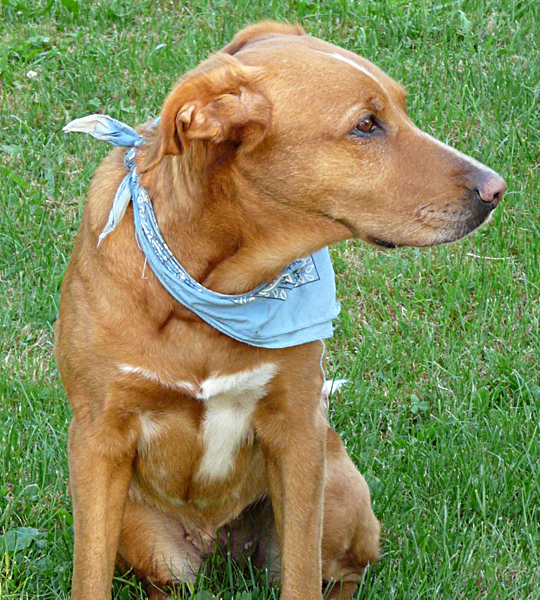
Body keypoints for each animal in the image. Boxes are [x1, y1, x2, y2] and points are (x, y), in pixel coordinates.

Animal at [55, 21, 506, 600]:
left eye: (402, 108)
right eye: (366, 125)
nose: (496, 190)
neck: (216, 288)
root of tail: (219, 543)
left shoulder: (297, 432)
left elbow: (301, 575)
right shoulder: (98, 439)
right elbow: (88, 574)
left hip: (339, 494)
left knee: (344, 572)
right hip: (148, 536)